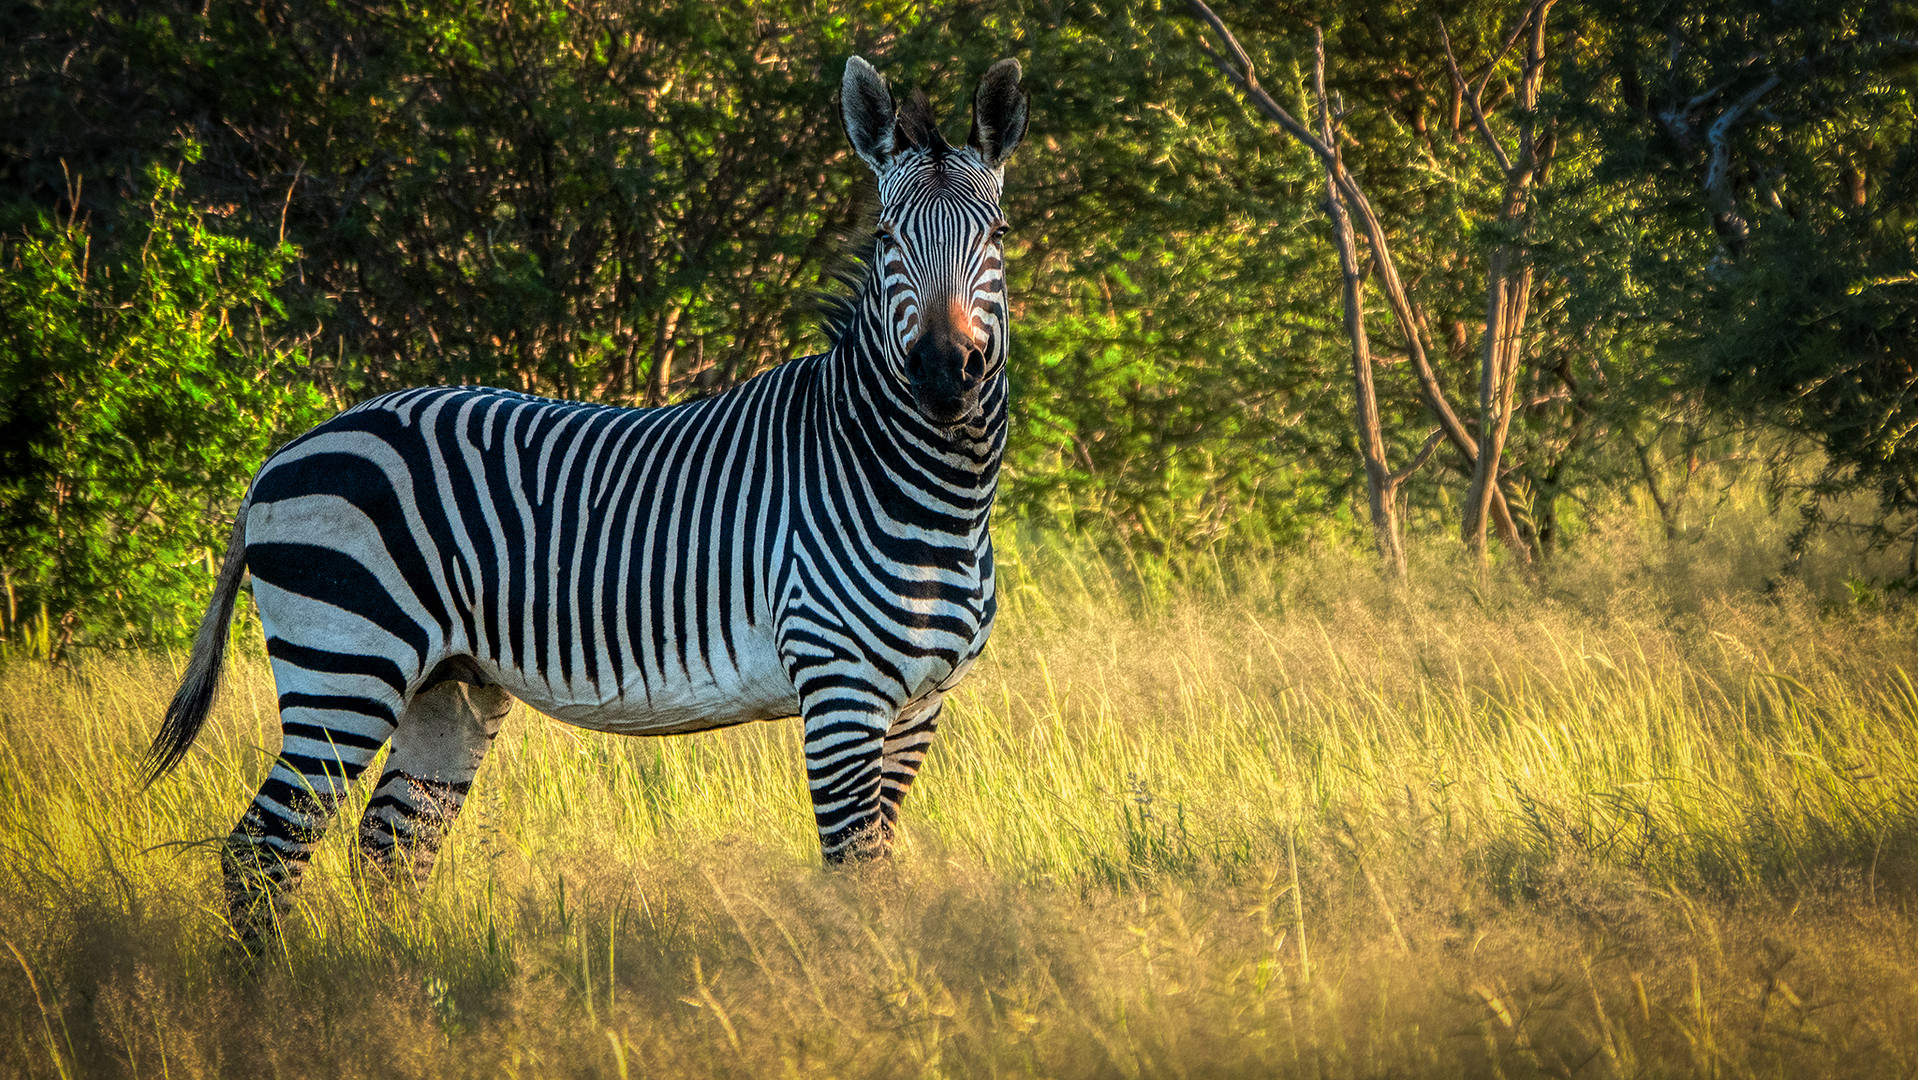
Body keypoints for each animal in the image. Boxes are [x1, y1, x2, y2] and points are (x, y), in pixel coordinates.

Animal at [145, 54, 1035, 943]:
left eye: (996, 237)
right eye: (886, 239)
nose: (943, 371)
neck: (932, 495)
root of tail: (283, 454)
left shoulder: (919, 707)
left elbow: (880, 874)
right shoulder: (840, 689)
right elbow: (855, 876)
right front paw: (865, 978)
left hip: (450, 683)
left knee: (391, 851)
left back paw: (402, 977)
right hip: (346, 662)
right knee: (264, 847)